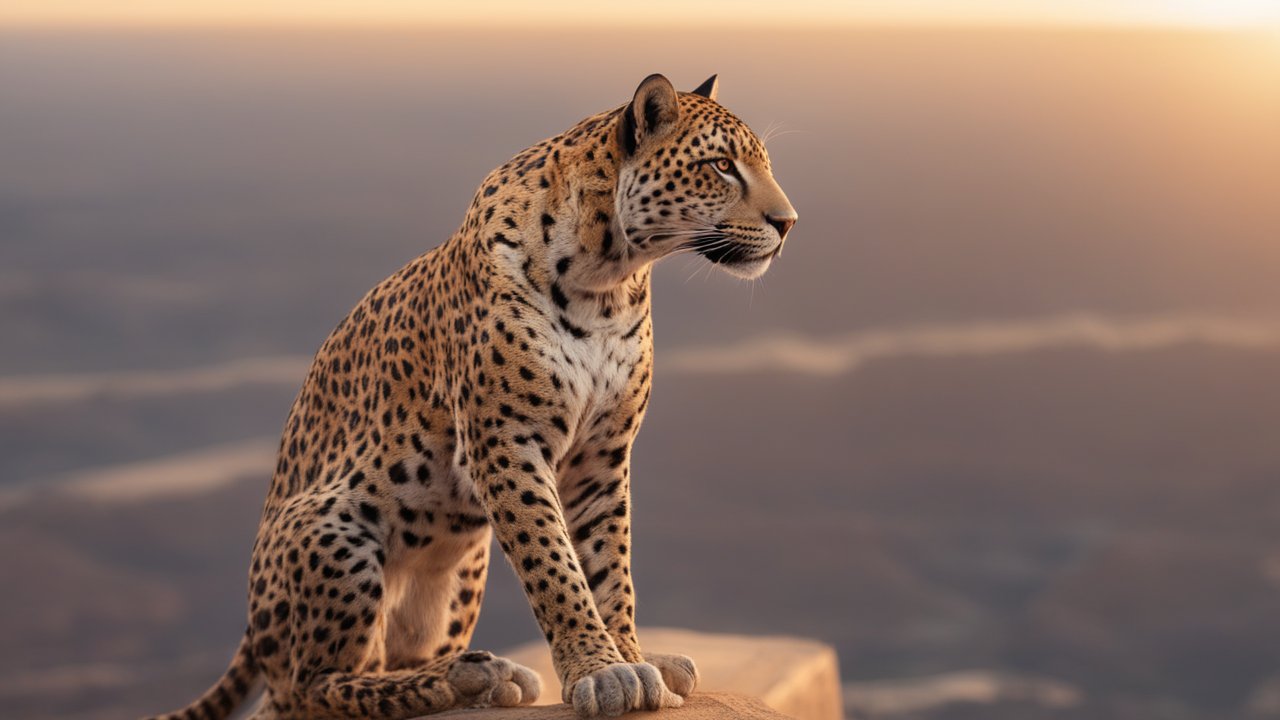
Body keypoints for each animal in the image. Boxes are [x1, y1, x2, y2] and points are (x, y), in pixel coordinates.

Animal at [148, 73, 796, 720]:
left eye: (762, 164)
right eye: (721, 166)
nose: (788, 222)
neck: (611, 280)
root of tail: (251, 632)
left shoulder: (603, 453)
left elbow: (609, 563)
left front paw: (633, 656)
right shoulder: (506, 440)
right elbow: (553, 562)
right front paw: (601, 669)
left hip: (461, 563)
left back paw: (481, 673)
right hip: (331, 524)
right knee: (308, 689)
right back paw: (465, 678)